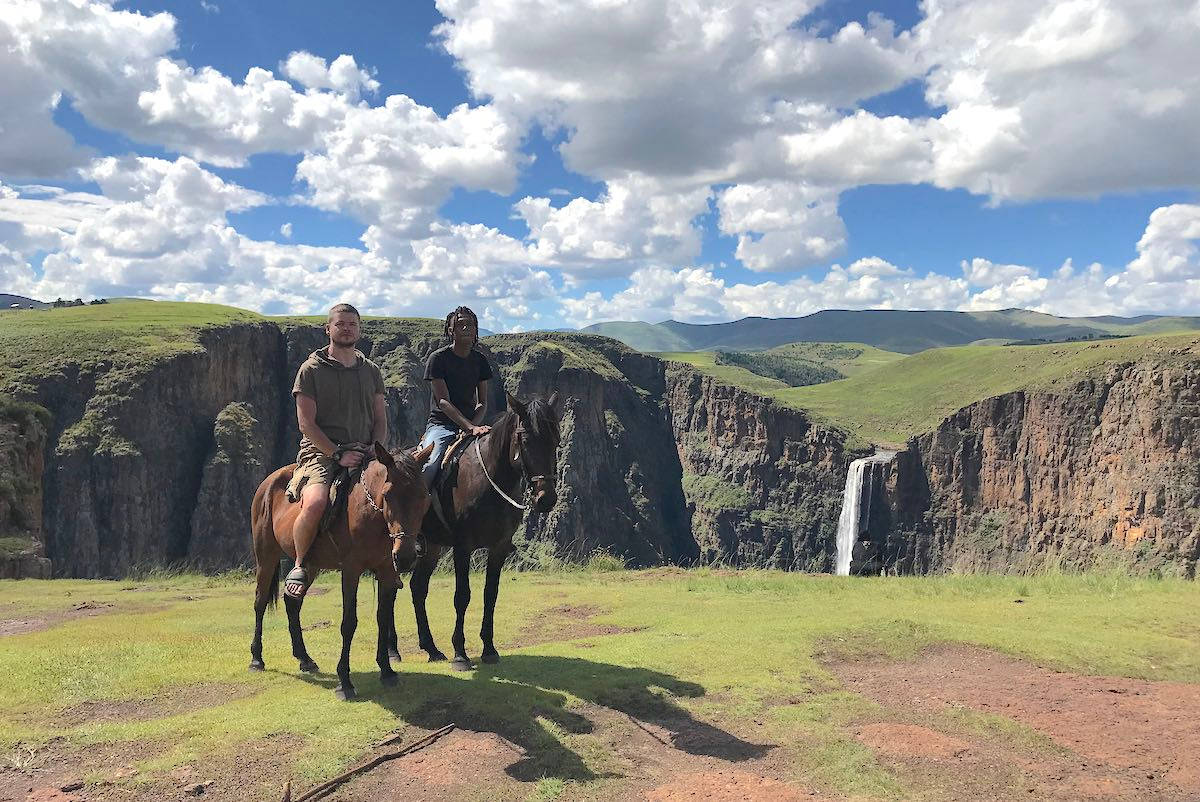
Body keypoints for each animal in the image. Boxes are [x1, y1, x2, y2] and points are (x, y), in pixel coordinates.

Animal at [248, 441, 432, 696]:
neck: (369, 515)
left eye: (424, 497)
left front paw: (386, 670)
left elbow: (383, 618)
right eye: (387, 495)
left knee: (292, 602)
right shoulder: (351, 571)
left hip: (310, 564)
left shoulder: (386, 571)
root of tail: (268, 483)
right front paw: (344, 682)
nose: (405, 557)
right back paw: (257, 659)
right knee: (260, 602)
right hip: (266, 556)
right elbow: (349, 623)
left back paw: (304, 658)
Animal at [405, 388, 564, 672]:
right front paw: (460, 654)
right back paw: (393, 653)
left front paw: (489, 648)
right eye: (525, 439)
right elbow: (462, 596)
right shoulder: (463, 547)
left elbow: (491, 594)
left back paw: (432, 649)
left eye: (555, 440)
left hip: (432, 545)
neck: (489, 478)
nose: (546, 499)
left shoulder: (499, 547)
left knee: (417, 587)